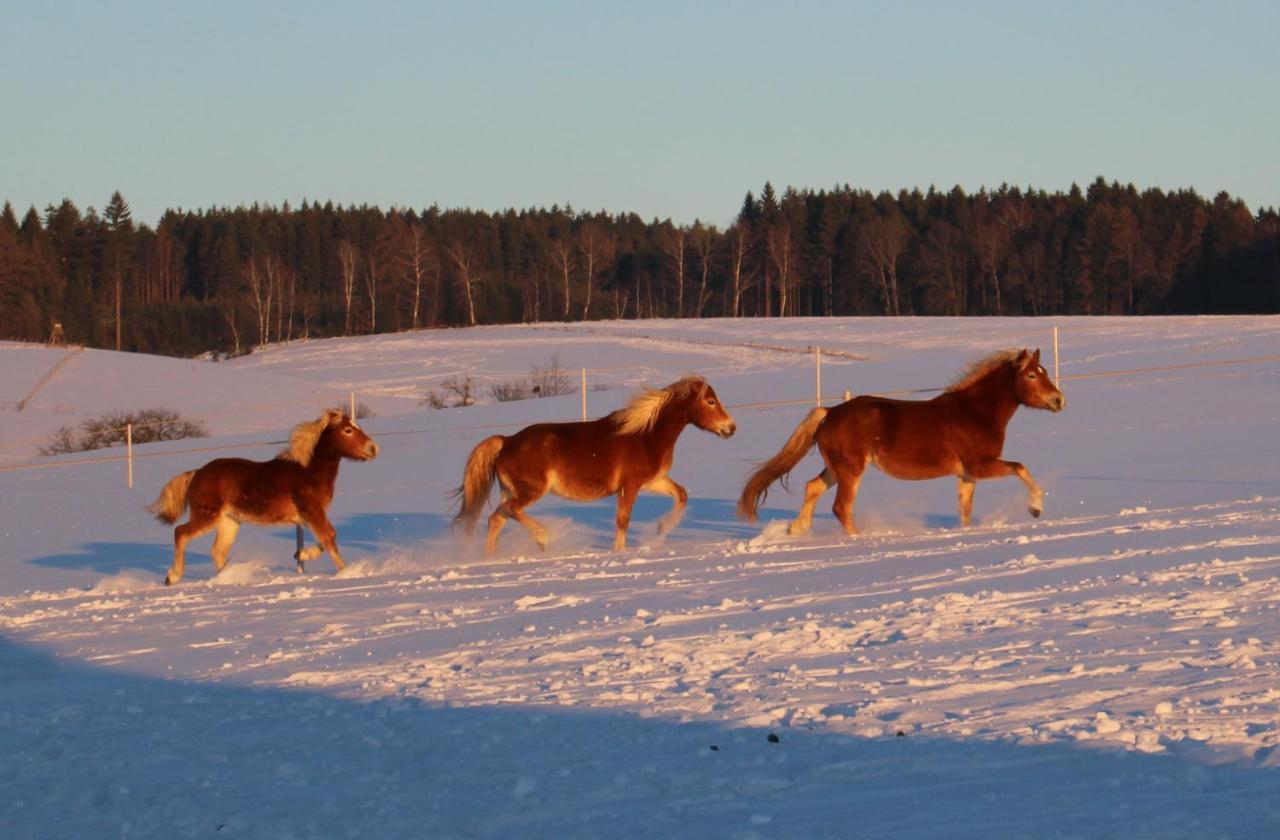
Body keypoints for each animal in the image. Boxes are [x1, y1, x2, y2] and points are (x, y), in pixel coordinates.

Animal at [146, 409, 373, 583]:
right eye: (348, 430)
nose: (373, 448)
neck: (309, 472)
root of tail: (196, 473)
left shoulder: (309, 516)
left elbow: (329, 536)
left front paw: (300, 553)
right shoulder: (313, 512)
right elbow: (329, 538)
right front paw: (346, 572)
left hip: (230, 522)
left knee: (217, 551)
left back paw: (232, 577)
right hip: (207, 516)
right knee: (181, 533)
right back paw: (173, 577)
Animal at [458, 376, 742, 555]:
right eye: (710, 401)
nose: (731, 428)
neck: (645, 435)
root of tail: (507, 441)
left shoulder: (653, 481)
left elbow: (681, 495)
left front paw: (660, 531)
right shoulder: (630, 486)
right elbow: (622, 520)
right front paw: (621, 550)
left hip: (511, 491)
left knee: (496, 519)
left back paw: (490, 557)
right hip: (530, 491)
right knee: (509, 512)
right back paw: (543, 539)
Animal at [737, 348, 1064, 537]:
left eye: (1045, 372)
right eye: (1032, 375)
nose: (1059, 400)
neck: (975, 412)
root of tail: (829, 413)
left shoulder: (967, 475)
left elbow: (965, 511)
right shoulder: (980, 465)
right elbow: (1021, 467)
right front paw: (1035, 508)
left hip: (836, 468)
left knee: (812, 487)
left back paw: (797, 529)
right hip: (851, 470)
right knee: (841, 507)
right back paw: (859, 539)